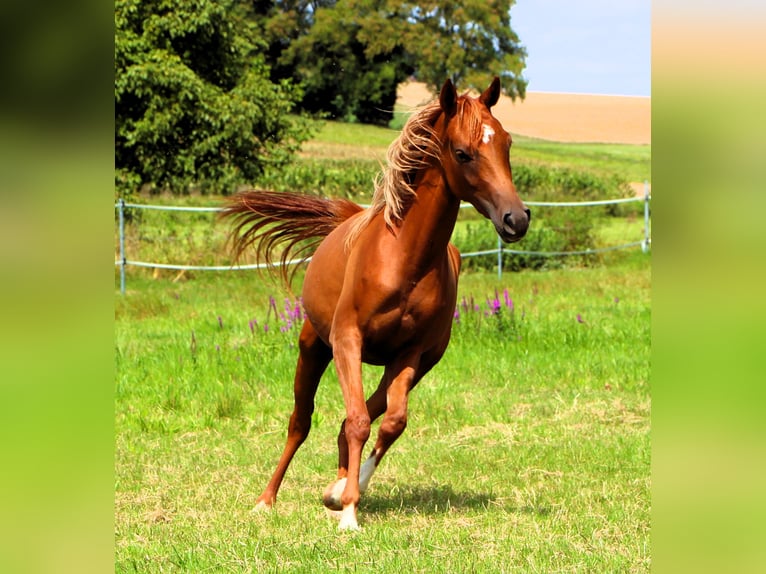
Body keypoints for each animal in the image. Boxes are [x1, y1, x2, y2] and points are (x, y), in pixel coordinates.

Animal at [222, 77, 530, 530]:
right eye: (462, 152)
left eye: (507, 143)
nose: (516, 219)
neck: (403, 259)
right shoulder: (348, 341)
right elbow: (357, 423)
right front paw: (349, 513)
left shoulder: (410, 355)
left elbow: (388, 424)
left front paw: (344, 496)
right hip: (313, 347)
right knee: (302, 421)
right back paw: (266, 499)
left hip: (407, 367)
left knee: (359, 417)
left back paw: (336, 486)